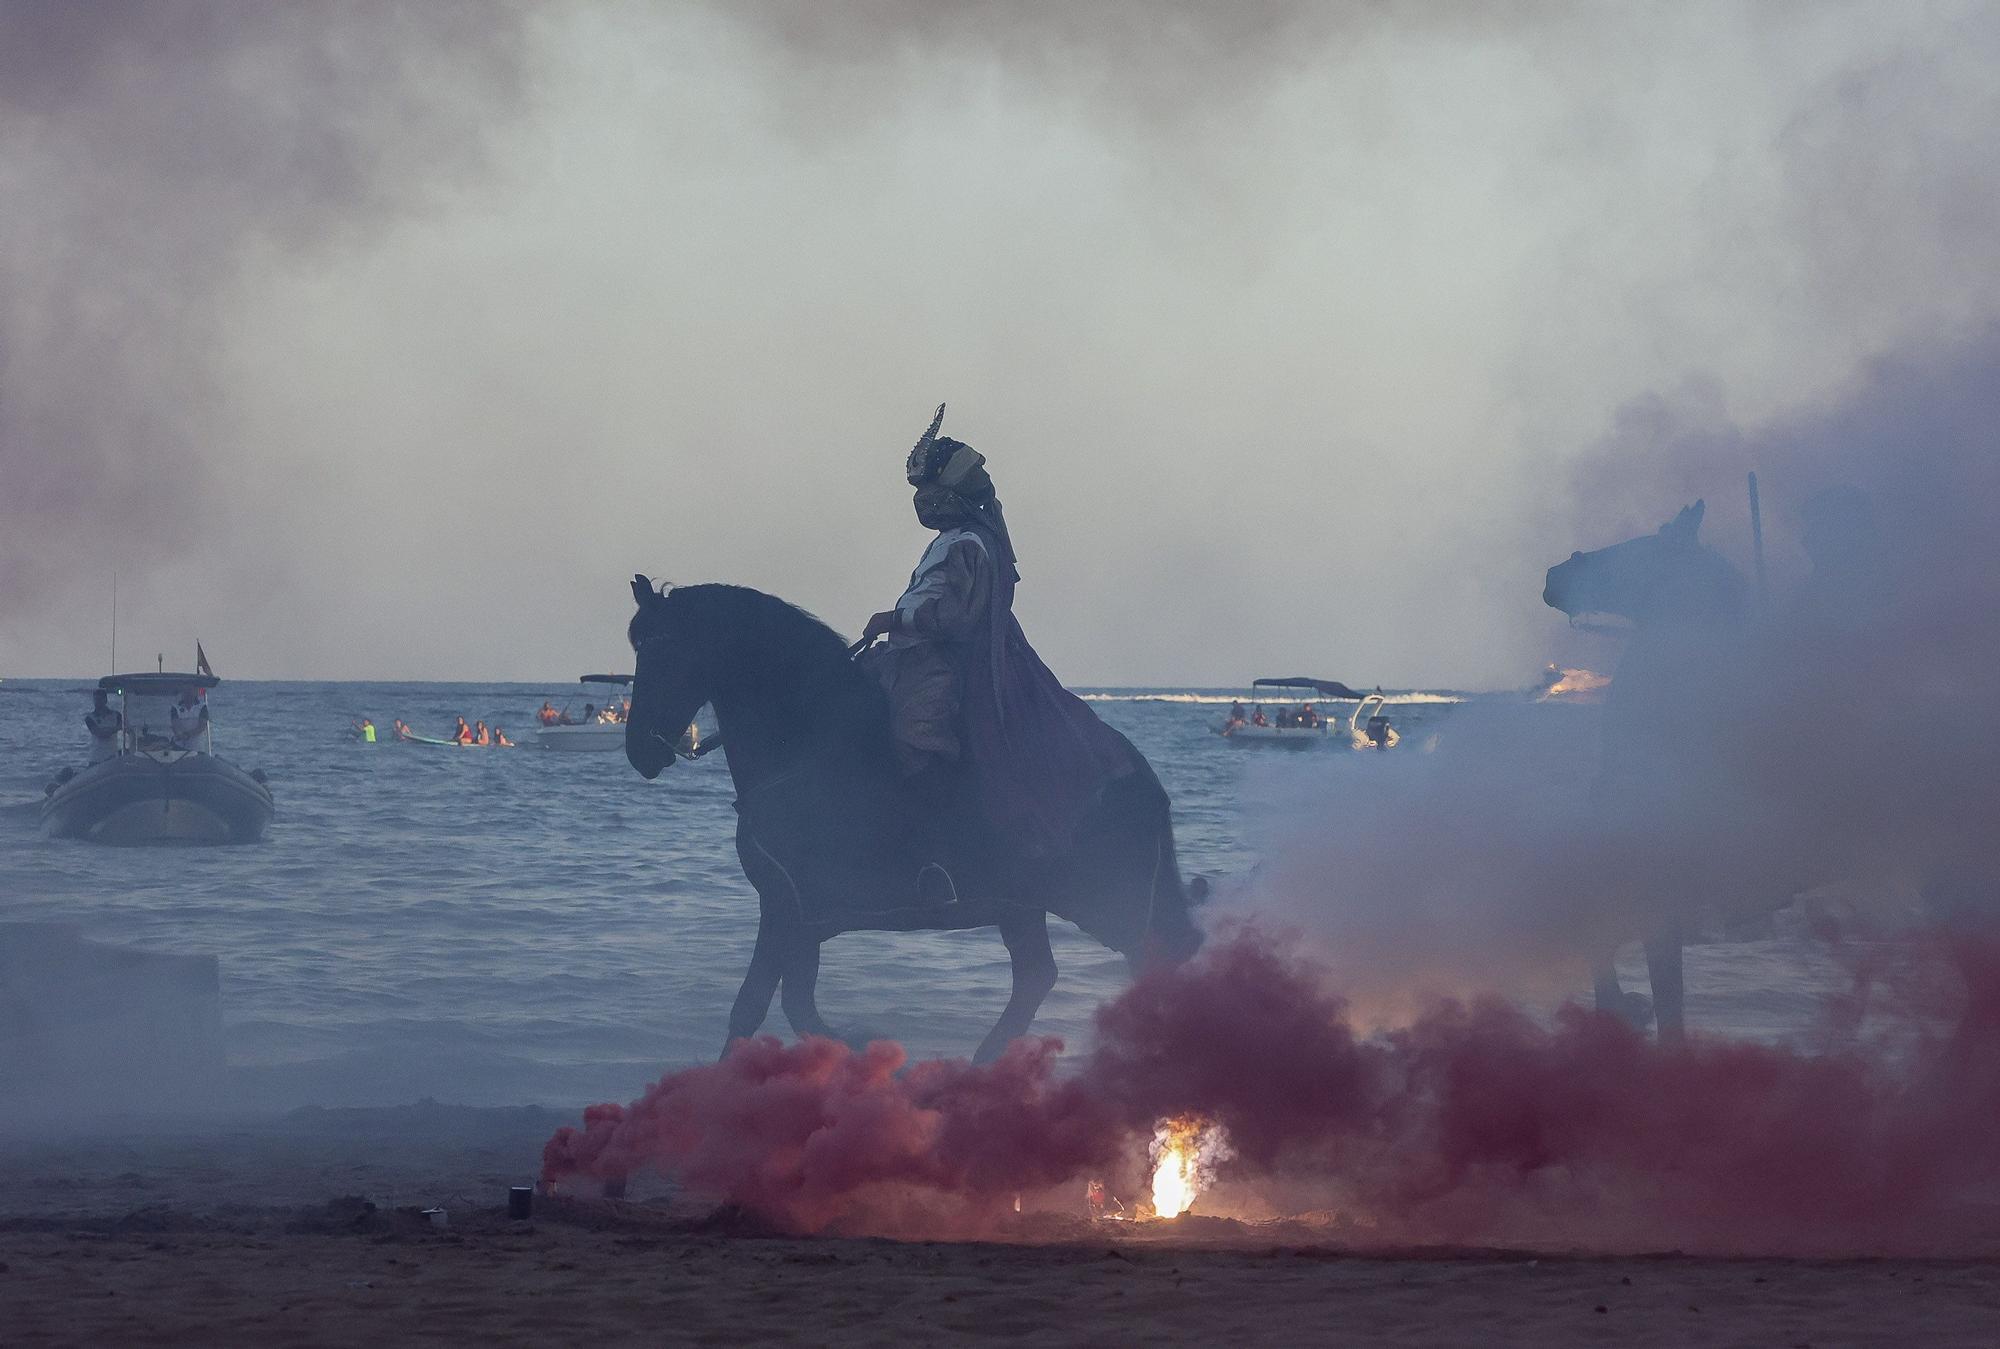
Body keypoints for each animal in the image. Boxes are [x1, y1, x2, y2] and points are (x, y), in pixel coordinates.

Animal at [624, 576, 1192, 1064]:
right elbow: (776, 1007)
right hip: (1023, 908)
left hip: (1106, 902)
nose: (638, 752)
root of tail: (1140, 776)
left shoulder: (790, 910)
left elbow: (770, 1007)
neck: (808, 747)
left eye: (660, 649)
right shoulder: (793, 910)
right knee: (1039, 977)